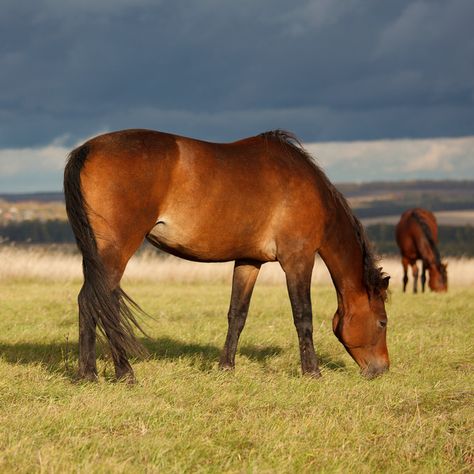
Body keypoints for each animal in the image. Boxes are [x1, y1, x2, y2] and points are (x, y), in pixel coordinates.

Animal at [63, 129, 388, 382]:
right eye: (383, 322)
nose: (381, 369)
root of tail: (87, 149)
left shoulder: (249, 261)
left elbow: (237, 314)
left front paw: (226, 367)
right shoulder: (298, 260)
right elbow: (303, 315)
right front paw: (312, 372)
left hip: (95, 257)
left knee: (87, 301)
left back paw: (87, 375)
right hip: (116, 252)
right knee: (102, 302)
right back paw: (124, 373)